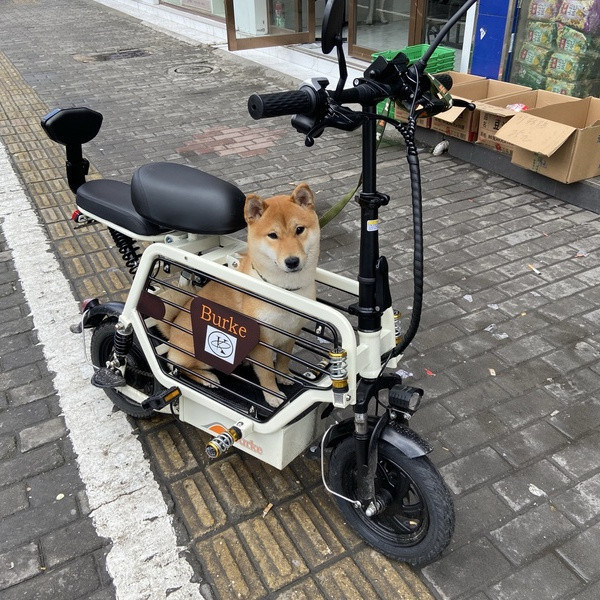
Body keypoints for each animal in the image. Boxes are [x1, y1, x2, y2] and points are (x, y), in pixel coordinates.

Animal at [159, 183, 318, 408]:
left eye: (299, 230)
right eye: (273, 235)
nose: (292, 261)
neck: (284, 291)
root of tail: (172, 330)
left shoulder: (291, 333)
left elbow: (283, 361)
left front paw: (284, 376)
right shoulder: (261, 342)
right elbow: (266, 373)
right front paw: (272, 395)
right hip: (198, 354)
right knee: (178, 366)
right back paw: (207, 379)